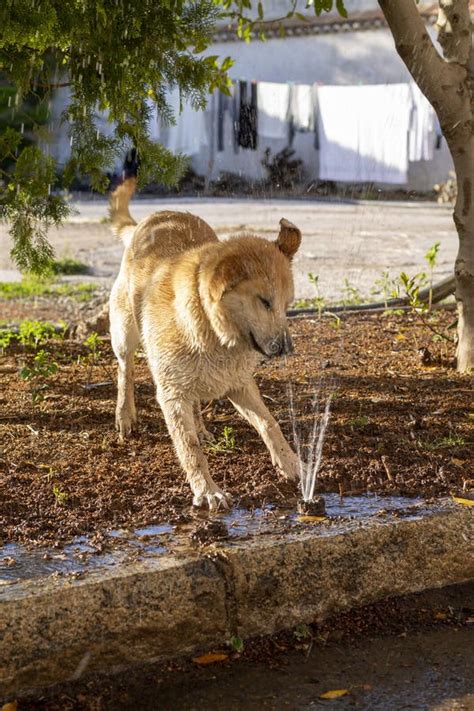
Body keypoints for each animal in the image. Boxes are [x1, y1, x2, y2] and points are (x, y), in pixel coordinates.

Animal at [109, 178, 302, 512]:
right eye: (264, 302)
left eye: (286, 305)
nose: (286, 349)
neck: (213, 332)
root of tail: (154, 218)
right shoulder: (171, 395)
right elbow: (190, 449)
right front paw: (207, 489)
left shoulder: (239, 384)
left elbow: (269, 423)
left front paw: (289, 462)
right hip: (124, 331)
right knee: (126, 368)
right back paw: (125, 414)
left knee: (196, 401)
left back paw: (200, 425)